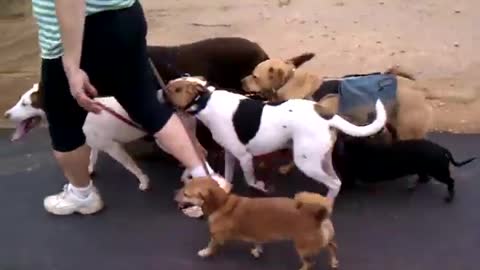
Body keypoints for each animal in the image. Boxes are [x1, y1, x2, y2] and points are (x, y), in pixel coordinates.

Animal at [163, 76, 388, 198]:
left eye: (174, 89)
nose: (159, 93)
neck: (206, 101)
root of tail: (324, 113)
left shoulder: (245, 158)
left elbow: (251, 180)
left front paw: (260, 187)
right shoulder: (230, 154)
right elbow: (227, 176)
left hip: (307, 163)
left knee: (333, 183)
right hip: (321, 159)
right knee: (337, 182)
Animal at [175, 177, 338, 270]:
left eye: (186, 194)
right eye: (183, 187)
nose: (174, 194)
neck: (223, 203)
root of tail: (317, 215)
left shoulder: (216, 237)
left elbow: (210, 246)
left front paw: (205, 252)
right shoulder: (258, 234)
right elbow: (258, 241)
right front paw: (257, 250)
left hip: (303, 248)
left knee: (309, 264)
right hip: (321, 241)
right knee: (332, 246)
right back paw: (334, 262)